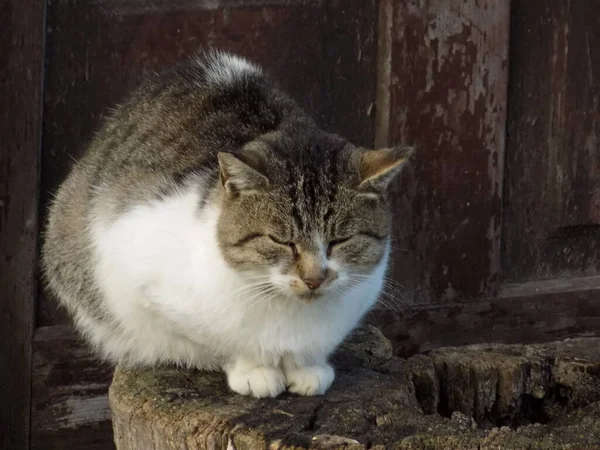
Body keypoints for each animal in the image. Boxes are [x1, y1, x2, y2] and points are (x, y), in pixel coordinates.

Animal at [42, 51, 412, 400]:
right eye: (281, 241)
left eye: (340, 240)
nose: (314, 278)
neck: (290, 315)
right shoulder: (135, 272)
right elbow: (216, 343)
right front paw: (254, 370)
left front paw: (307, 368)